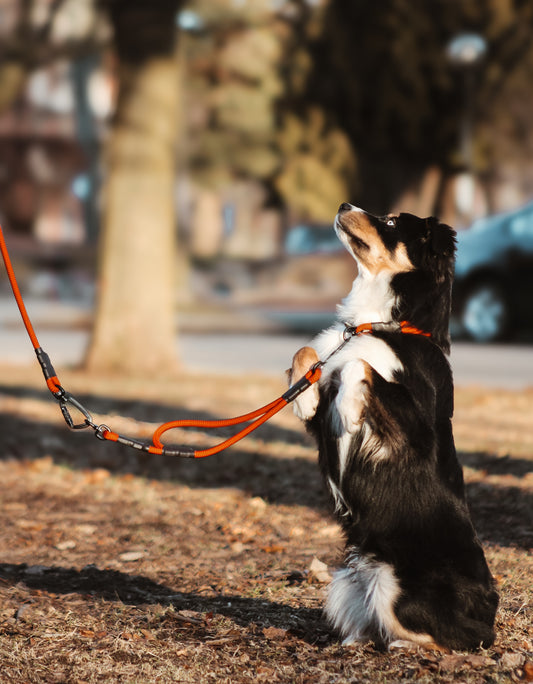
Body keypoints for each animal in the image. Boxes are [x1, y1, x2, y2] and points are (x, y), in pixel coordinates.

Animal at [288, 204, 496, 652]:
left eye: (391, 222)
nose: (344, 206)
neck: (377, 323)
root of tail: (489, 614)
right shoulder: (320, 421)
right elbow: (308, 352)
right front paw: (303, 398)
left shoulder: (417, 430)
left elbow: (360, 365)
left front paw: (351, 408)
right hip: (348, 582)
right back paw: (356, 640)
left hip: (398, 589)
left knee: (452, 639)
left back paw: (404, 648)